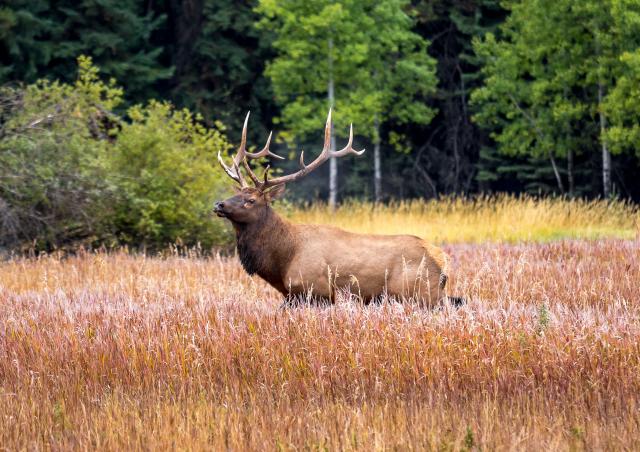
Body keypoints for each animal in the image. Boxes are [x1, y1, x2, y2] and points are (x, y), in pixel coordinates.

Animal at [215, 110, 464, 308]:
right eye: (237, 194)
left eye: (251, 200)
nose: (219, 204)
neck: (282, 261)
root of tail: (442, 260)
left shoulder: (315, 291)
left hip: (418, 293)